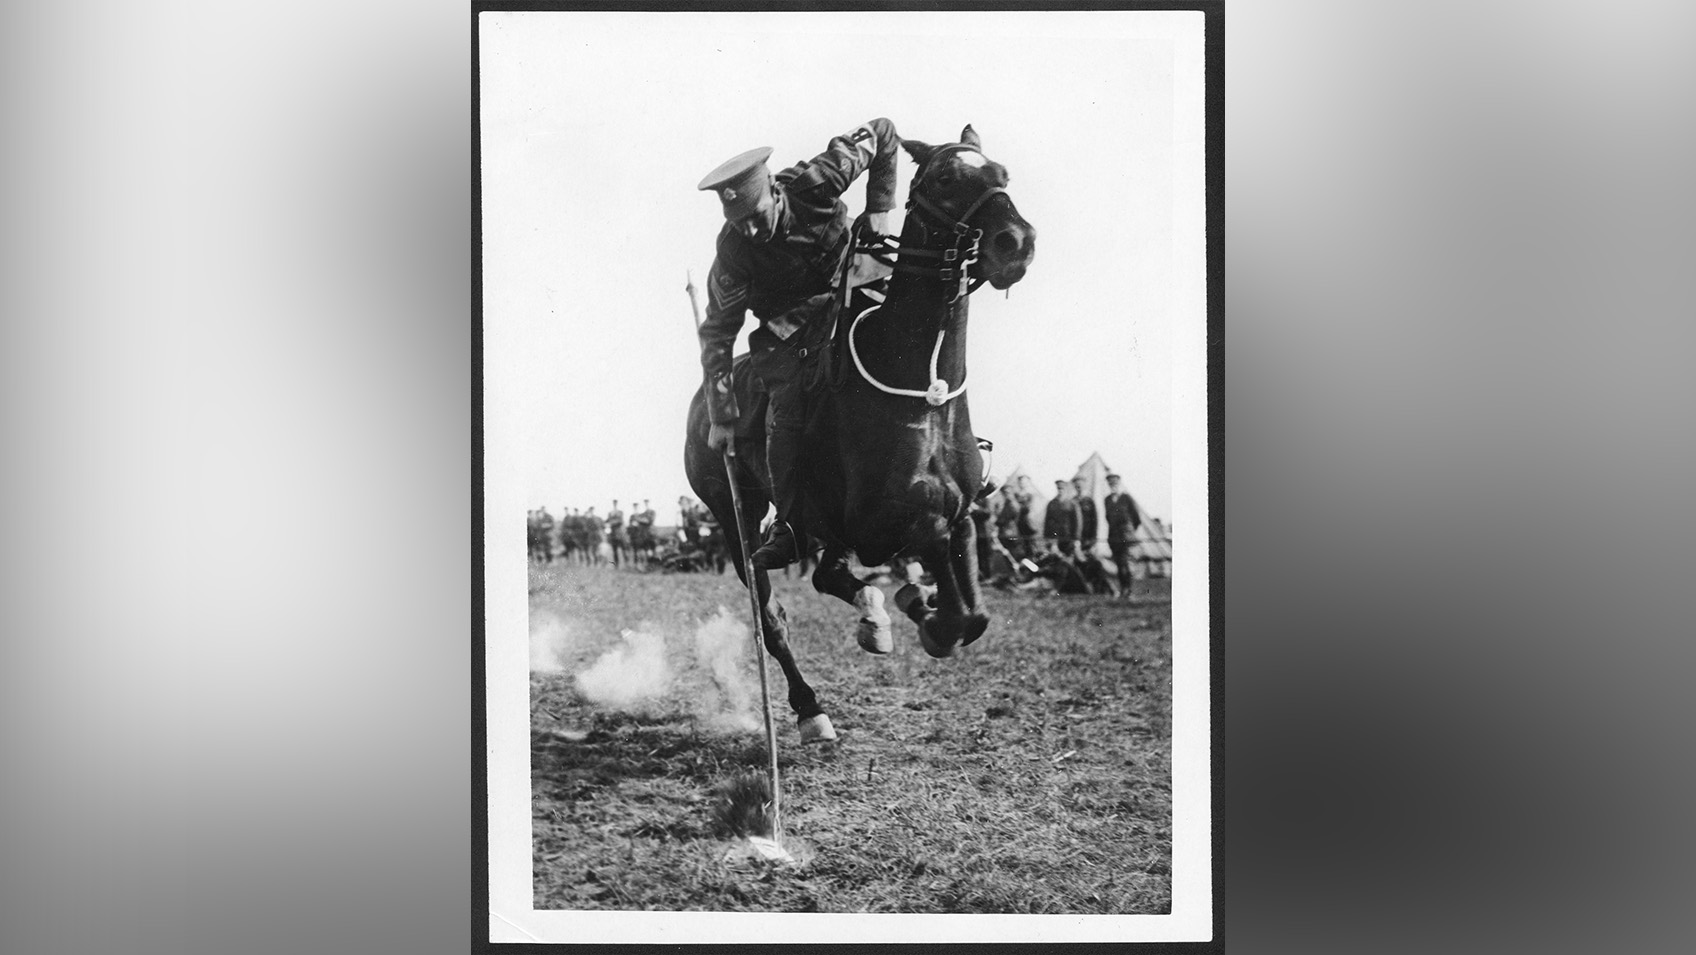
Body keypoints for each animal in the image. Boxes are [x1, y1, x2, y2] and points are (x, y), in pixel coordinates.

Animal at [684, 125, 1036, 742]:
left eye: (1002, 174)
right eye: (946, 178)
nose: (1016, 242)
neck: (921, 391)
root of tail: (704, 400)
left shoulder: (964, 512)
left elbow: (974, 610)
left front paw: (920, 605)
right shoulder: (890, 523)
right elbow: (938, 572)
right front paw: (925, 617)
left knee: (828, 573)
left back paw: (884, 610)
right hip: (736, 516)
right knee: (773, 616)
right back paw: (810, 708)